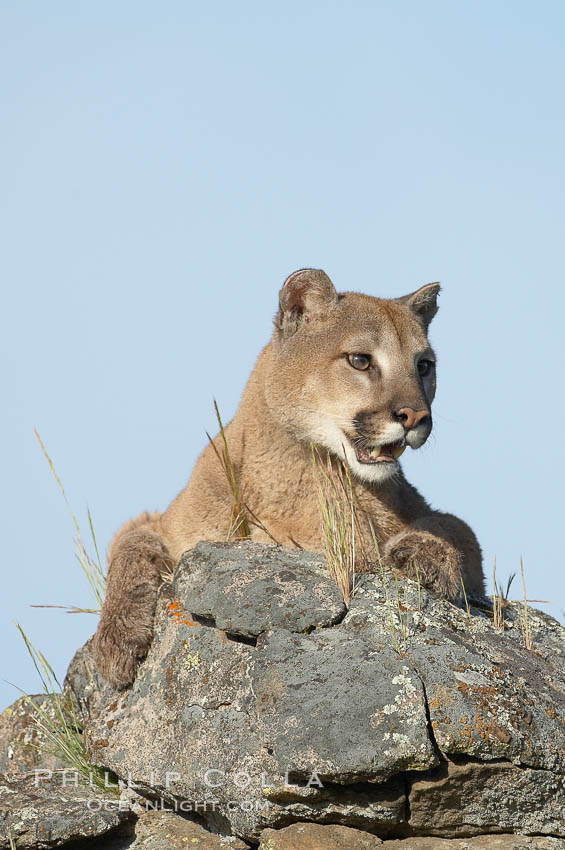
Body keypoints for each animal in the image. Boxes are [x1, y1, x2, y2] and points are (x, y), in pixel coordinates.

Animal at [91, 268, 480, 684]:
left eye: (423, 365)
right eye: (360, 360)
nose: (416, 416)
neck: (302, 473)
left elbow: (457, 529)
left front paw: (424, 557)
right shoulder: (165, 525)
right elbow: (130, 546)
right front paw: (117, 640)